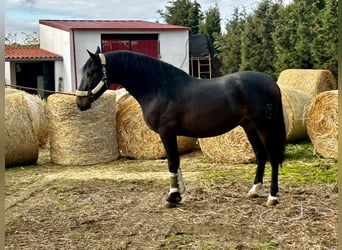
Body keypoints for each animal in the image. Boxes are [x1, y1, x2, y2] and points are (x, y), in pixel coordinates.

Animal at [75, 47, 286, 207]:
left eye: (91, 73)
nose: (80, 103)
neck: (159, 88)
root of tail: (271, 82)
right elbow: (175, 163)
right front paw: (178, 193)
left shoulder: (166, 133)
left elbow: (172, 163)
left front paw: (172, 196)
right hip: (249, 126)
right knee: (260, 154)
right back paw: (254, 190)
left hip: (263, 126)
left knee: (273, 157)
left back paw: (272, 196)